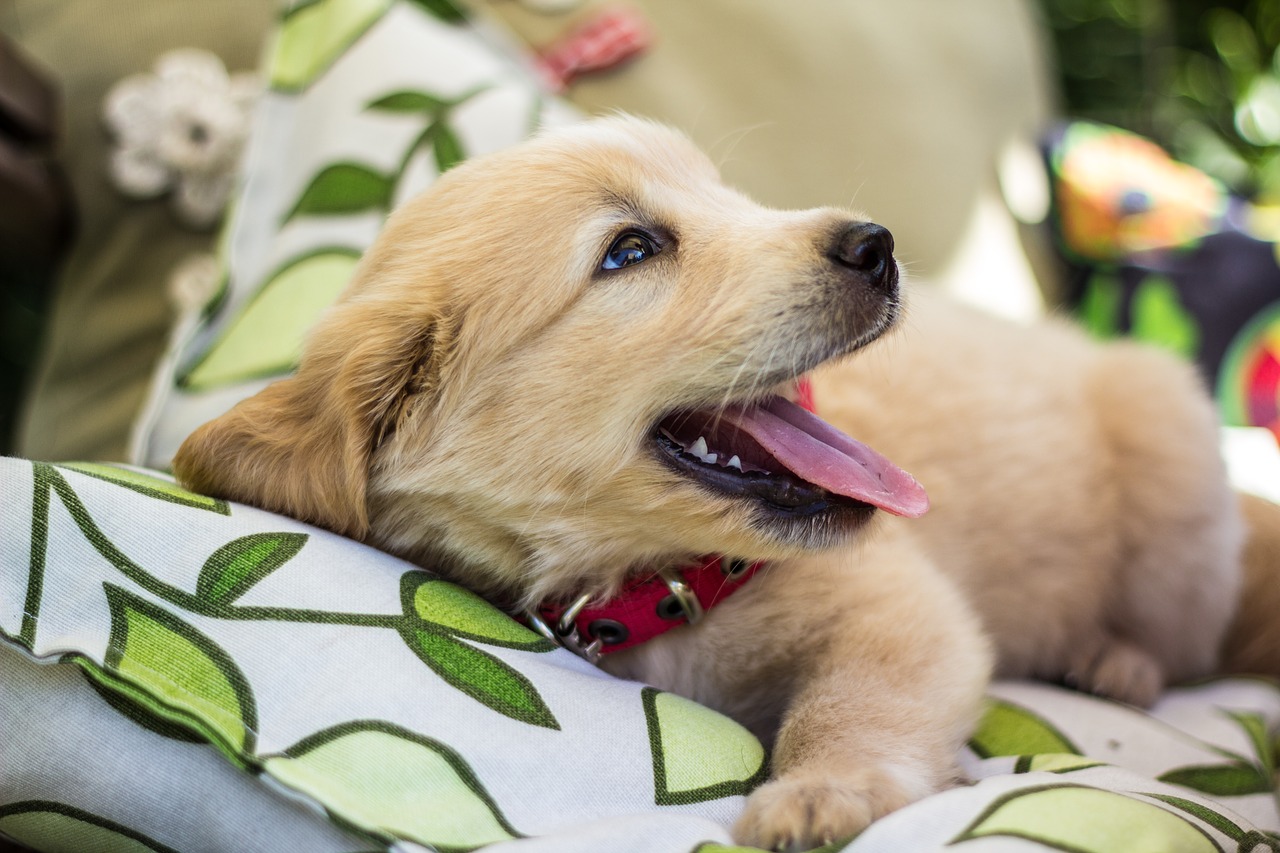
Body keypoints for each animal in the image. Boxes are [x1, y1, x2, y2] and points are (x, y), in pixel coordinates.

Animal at [177, 116, 1259, 845]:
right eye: (630, 250)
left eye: (725, 197)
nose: (877, 244)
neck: (660, 585)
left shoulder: (901, 607)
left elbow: (852, 700)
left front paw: (825, 790)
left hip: (1171, 480)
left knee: (1186, 638)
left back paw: (1114, 660)